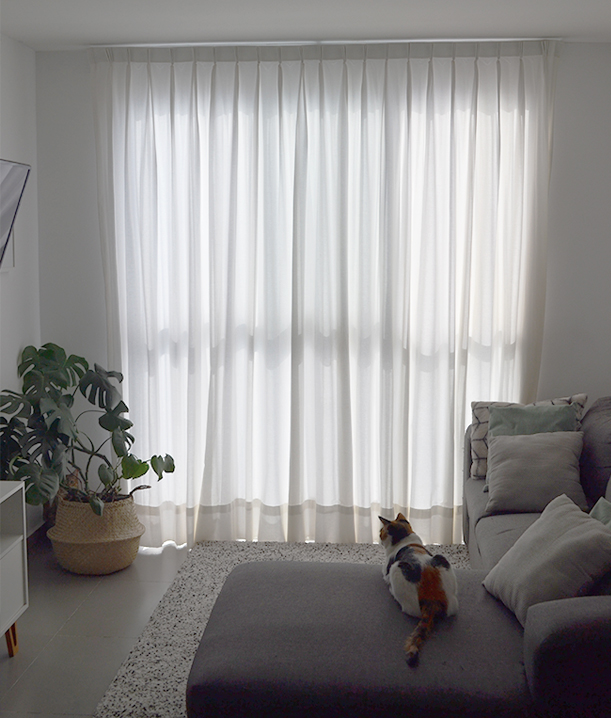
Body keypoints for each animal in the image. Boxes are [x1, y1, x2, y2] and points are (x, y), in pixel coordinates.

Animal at [378, 516, 460, 668]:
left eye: (381, 532)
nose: (379, 537)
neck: (406, 540)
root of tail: (432, 600)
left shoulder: (386, 569)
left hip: (396, 568)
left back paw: (392, 591)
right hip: (442, 561)